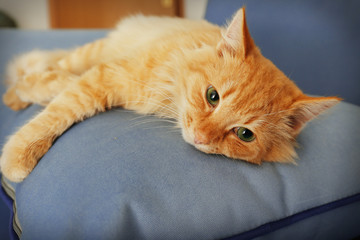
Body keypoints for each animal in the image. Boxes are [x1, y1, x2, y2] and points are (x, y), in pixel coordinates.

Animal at [0, 7, 338, 182]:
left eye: (245, 134)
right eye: (212, 96)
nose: (200, 137)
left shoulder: (104, 79)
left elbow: (67, 96)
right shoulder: (108, 75)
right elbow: (60, 108)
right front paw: (18, 156)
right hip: (94, 51)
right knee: (53, 64)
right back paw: (19, 93)